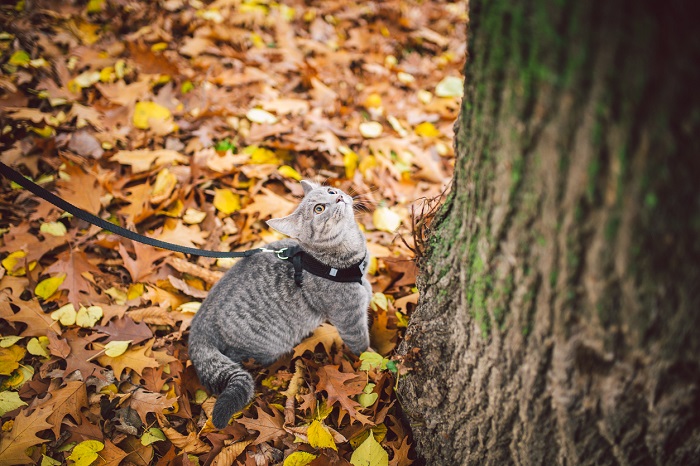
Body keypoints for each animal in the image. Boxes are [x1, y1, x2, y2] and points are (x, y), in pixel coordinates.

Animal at [186, 180, 372, 428]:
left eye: (331, 191)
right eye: (319, 209)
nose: (339, 197)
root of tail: (200, 322)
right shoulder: (348, 317)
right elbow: (362, 346)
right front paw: (376, 361)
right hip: (266, 344)